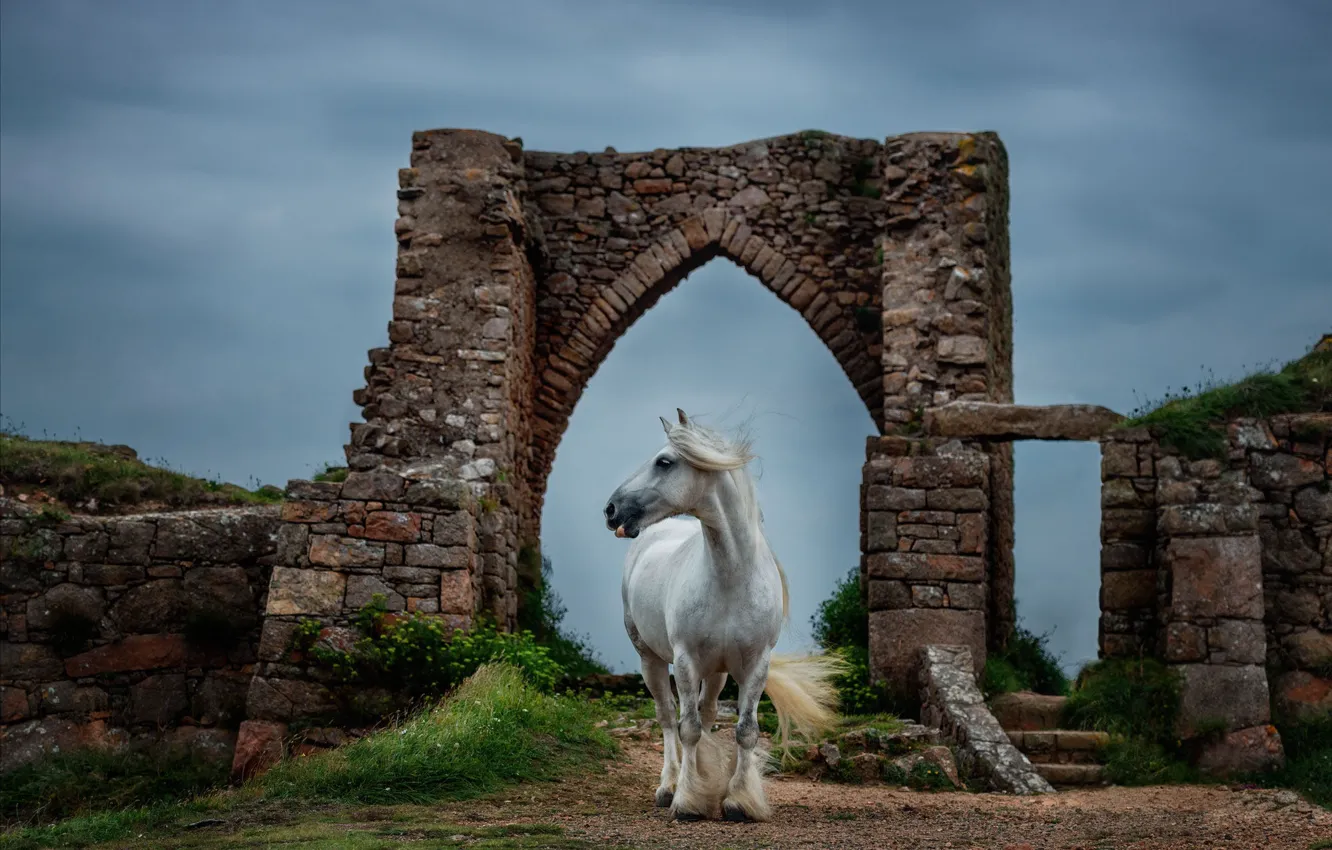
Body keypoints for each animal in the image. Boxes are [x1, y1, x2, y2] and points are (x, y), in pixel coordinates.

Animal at [603, 408, 847, 822]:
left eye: (664, 461)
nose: (611, 510)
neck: (731, 577)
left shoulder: (754, 664)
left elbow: (744, 730)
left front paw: (738, 801)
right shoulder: (685, 661)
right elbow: (686, 728)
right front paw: (687, 801)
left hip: (715, 672)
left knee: (707, 712)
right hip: (651, 659)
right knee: (667, 717)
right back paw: (669, 786)